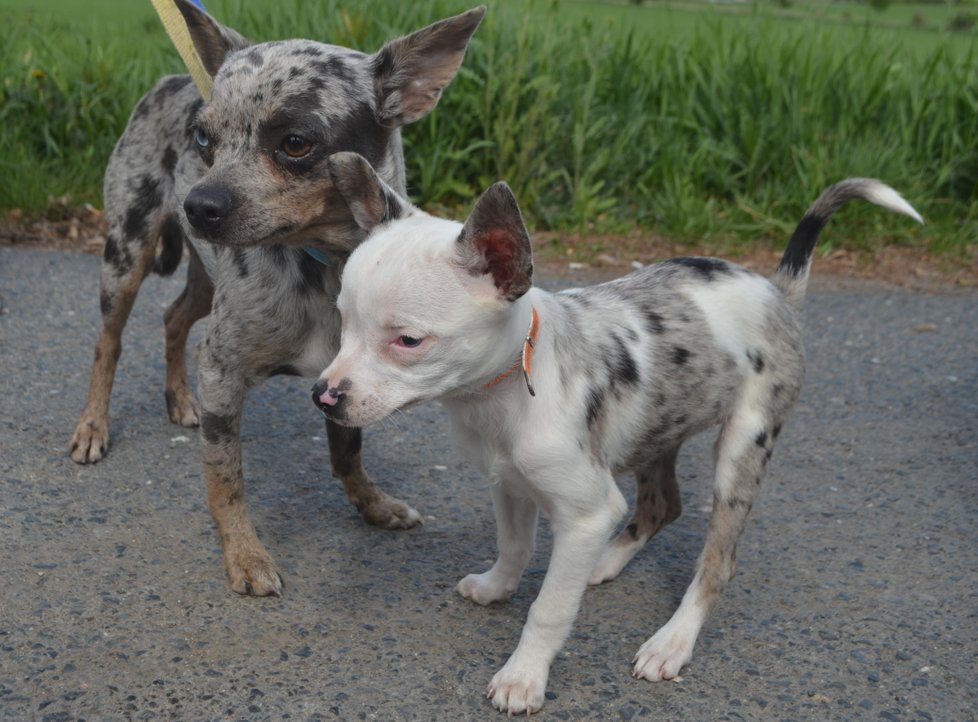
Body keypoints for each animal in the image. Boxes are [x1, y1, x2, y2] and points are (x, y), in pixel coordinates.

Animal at [68, 0, 484, 592]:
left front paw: (371, 504)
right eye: (203, 139)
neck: (325, 266)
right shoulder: (222, 373)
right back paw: (92, 427)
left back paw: (179, 399)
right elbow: (225, 478)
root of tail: (172, 77)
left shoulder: (341, 378)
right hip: (126, 255)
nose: (198, 204)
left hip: (207, 279)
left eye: (294, 142)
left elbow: (347, 452)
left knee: (174, 318)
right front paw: (244, 553)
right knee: (109, 343)